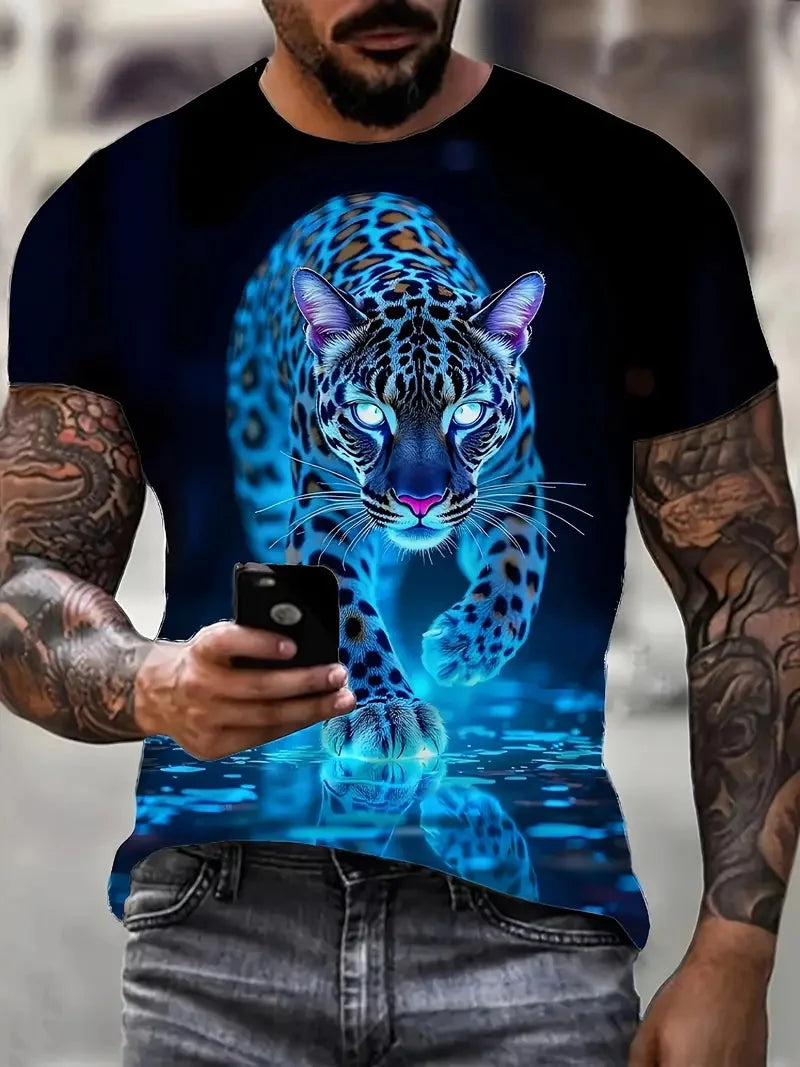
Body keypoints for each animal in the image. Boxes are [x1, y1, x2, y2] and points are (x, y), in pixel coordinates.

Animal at [226, 191, 550, 763]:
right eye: (369, 414)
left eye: (468, 413)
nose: (420, 502)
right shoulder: (325, 511)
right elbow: (349, 611)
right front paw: (384, 709)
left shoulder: (520, 488)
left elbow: (516, 578)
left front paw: (460, 650)